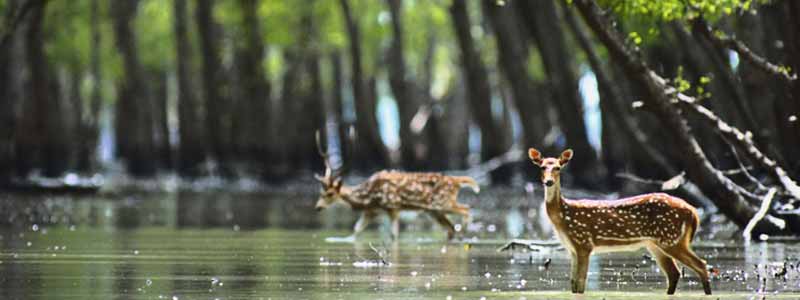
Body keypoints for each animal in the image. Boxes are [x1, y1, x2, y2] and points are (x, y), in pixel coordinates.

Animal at [314, 132, 478, 240]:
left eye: (330, 194)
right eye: (320, 193)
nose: (318, 207)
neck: (368, 197)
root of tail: (456, 181)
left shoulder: (393, 207)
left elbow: (394, 235)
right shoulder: (371, 212)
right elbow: (356, 231)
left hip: (442, 203)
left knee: (466, 209)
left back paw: (464, 231)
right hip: (434, 211)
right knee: (450, 229)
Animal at [528, 148, 708, 296]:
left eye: (558, 167)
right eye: (542, 167)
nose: (549, 182)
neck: (563, 217)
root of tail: (692, 211)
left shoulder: (584, 242)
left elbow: (580, 284)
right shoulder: (572, 248)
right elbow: (573, 284)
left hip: (671, 238)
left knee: (701, 265)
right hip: (657, 243)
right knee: (674, 273)